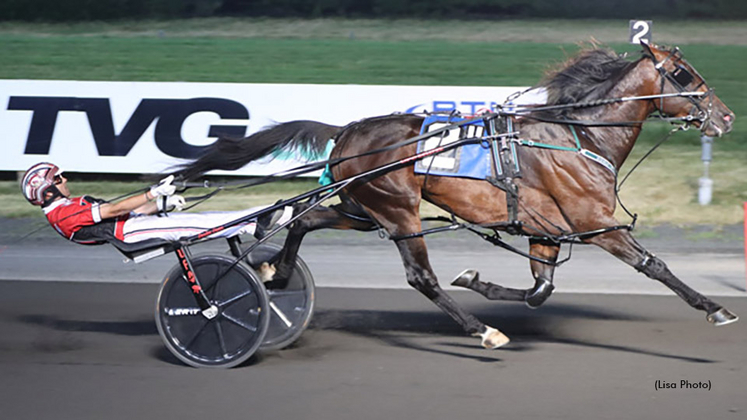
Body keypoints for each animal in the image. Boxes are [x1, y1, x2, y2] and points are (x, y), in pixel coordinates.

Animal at [178, 44, 740, 350]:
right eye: (684, 75)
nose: (727, 116)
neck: (579, 136)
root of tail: (348, 130)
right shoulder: (596, 224)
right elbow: (654, 265)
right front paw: (715, 308)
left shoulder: (546, 231)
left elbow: (539, 290)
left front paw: (475, 278)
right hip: (398, 211)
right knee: (419, 277)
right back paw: (481, 331)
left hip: (363, 207)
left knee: (302, 219)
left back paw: (275, 272)